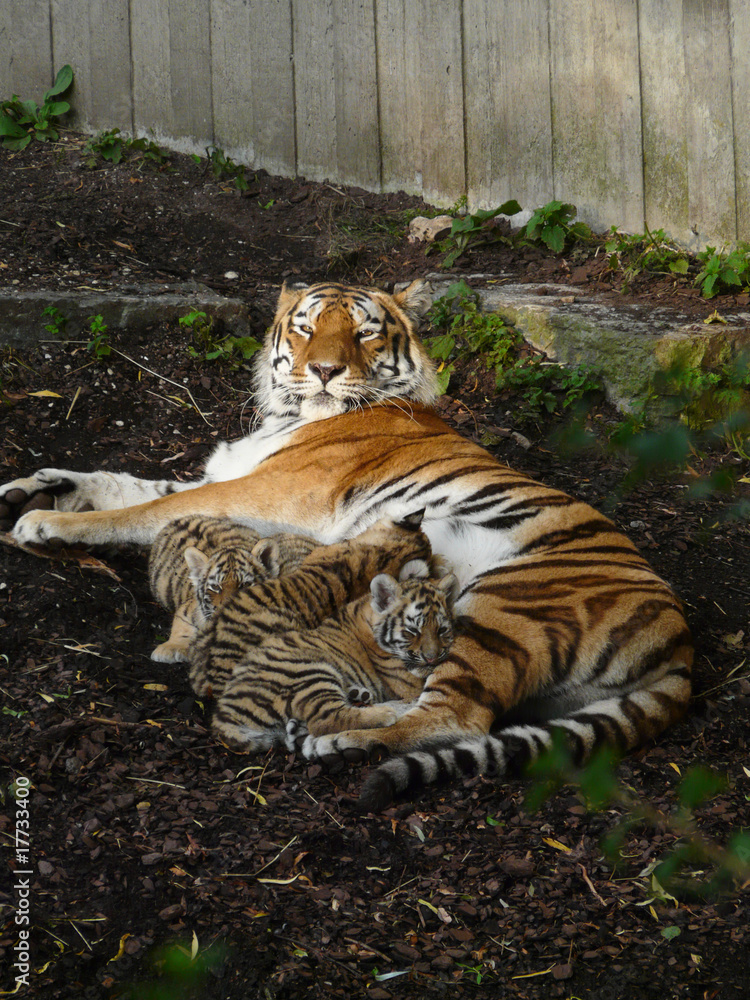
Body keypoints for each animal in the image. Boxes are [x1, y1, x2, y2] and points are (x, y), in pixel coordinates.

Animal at [147, 514, 319, 663]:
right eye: (216, 587)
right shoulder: (188, 610)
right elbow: (181, 626)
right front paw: (168, 649)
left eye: (245, 585)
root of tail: (179, 519)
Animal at [209, 560, 459, 751]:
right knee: (325, 719)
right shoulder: (406, 681)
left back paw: (360, 696)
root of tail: (225, 713)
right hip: (310, 670)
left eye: (441, 630)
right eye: (412, 632)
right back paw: (385, 713)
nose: (432, 658)